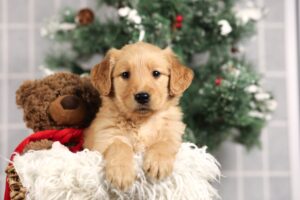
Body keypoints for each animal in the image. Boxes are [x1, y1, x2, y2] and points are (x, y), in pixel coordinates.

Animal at [83, 41, 193, 191]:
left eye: (156, 73)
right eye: (125, 74)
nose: (142, 96)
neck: (142, 122)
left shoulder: (172, 133)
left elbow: (164, 143)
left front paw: (158, 163)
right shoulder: (106, 136)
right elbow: (119, 146)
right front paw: (121, 173)